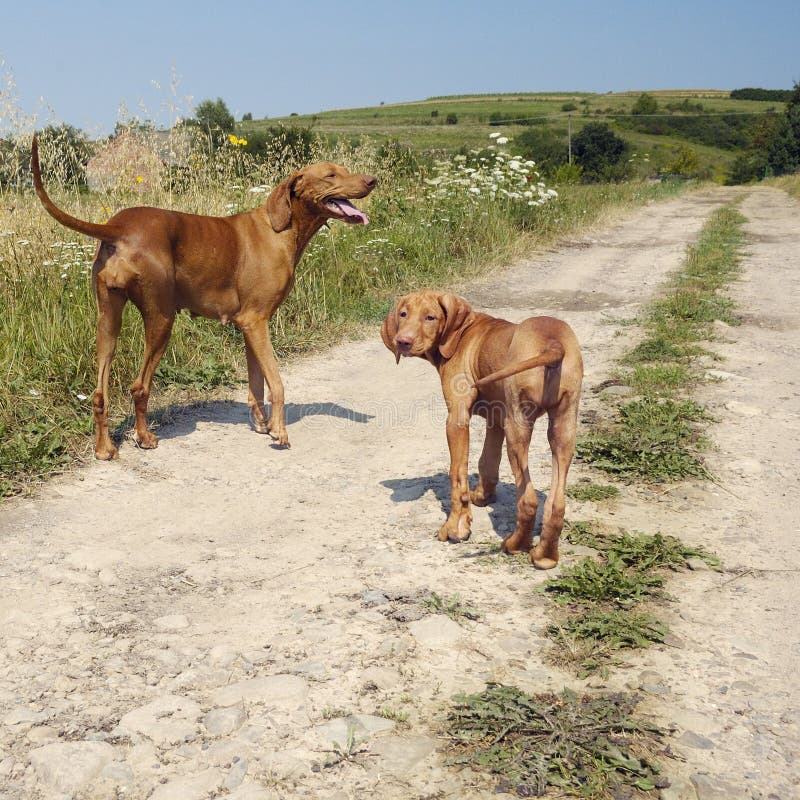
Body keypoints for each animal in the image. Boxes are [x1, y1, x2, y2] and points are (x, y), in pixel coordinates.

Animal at [32, 138, 376, 460]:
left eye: (346, 170)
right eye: (331, 175)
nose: (372, 180)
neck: (281, 229)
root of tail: (119, 226)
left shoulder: (248, 325)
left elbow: (256, 382)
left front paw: (261, 424)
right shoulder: (256, 321)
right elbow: (276, 382)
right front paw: (279, 431)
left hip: (107, 321)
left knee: (100, 392)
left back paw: (104, 448)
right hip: (161, 318)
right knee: (140, 386)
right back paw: (144, 437)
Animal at [382, 290, 580, 564]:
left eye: (430, 317)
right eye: (403, 314)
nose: (403, 341)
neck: (461, 335)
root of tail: (554, 344)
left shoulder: (457, 419)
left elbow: (457, 475)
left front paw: (455, 528)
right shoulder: (496, 417)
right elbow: (487, 461)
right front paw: (483, 496)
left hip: (518, 426)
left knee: (528, 500)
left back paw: (516, 545)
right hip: (563, 426)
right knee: (556, 502)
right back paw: (545, 556)